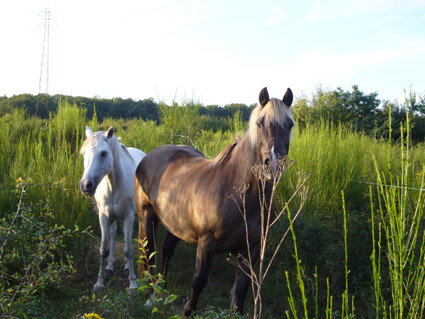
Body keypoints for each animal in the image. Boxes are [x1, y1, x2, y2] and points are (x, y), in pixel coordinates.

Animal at [79, 125, 146, 292]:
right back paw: (110, 267)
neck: (113, 183)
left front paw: (133, 285)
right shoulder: (104, 216)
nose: (86, 185)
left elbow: (128, 250)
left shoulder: (128, 216)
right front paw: (99, 283)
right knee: (114, 234)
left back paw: (128, 268)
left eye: (104, 153)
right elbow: (103, 249)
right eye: (84, 153)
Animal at [134, 86, 294, 316]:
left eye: (289, 125)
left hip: (177, 224)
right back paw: (150, 297)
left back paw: (160, 289)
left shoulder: (252, 247)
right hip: (146, 216)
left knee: (165, 250)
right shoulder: (206, 243)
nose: (272, 166)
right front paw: (188, 311)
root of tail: (149, 156)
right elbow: (199, 280)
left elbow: (242, 287)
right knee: (148, 254)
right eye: (259, 123)